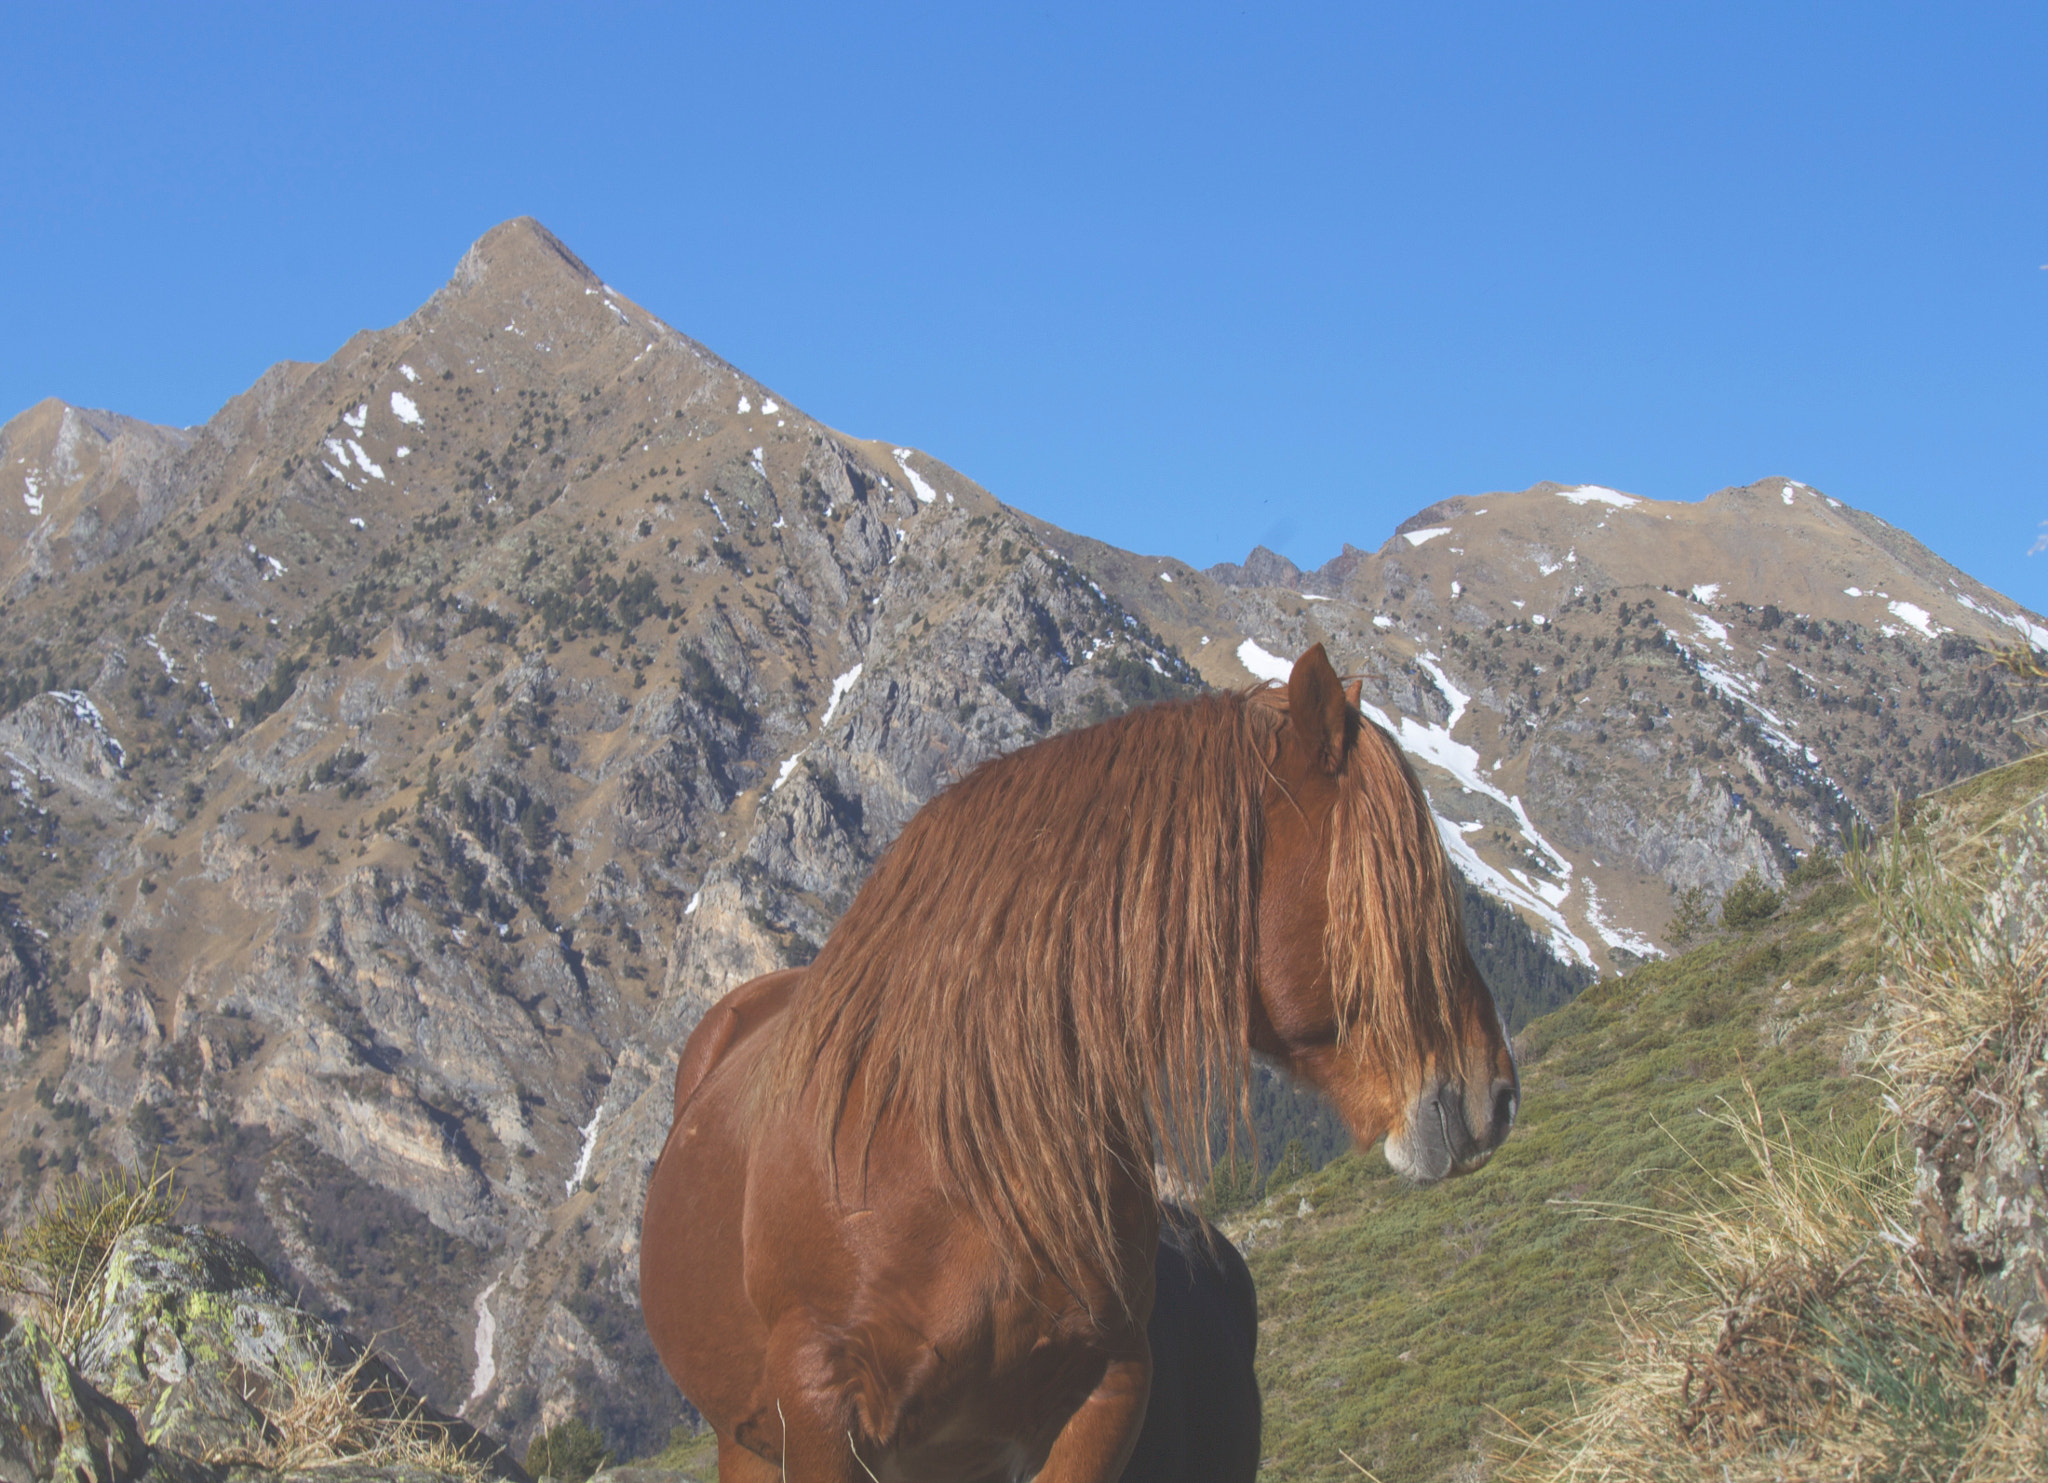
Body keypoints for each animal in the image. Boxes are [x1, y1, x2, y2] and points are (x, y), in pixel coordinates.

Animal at [640, 642, 1518, 1482]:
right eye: (1400, 882)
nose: (1496, 1095)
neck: (951, 1151)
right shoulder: (820, 1416)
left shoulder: (1106, 1394)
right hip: (751, 1443)